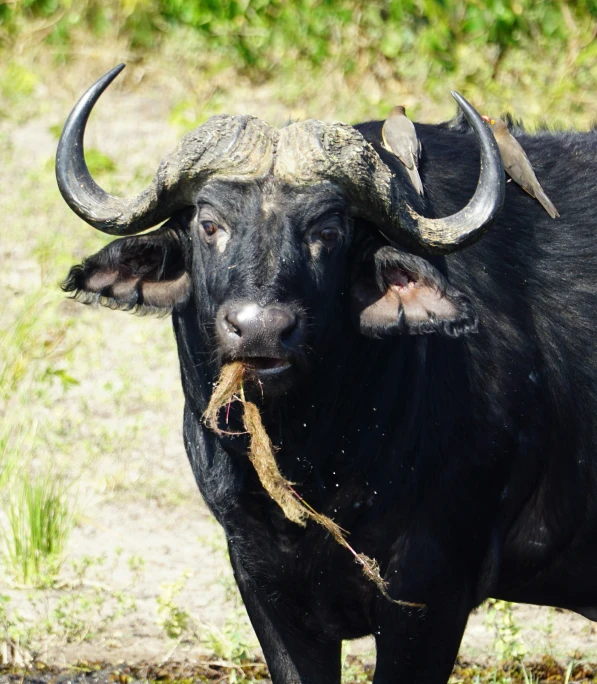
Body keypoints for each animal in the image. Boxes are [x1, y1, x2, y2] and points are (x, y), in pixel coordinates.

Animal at [56, 62, 596, 680]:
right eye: (209, 224)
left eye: (328, 231)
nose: (260, 329)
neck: (323, 453)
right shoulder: (264, 586)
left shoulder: (431, 597)